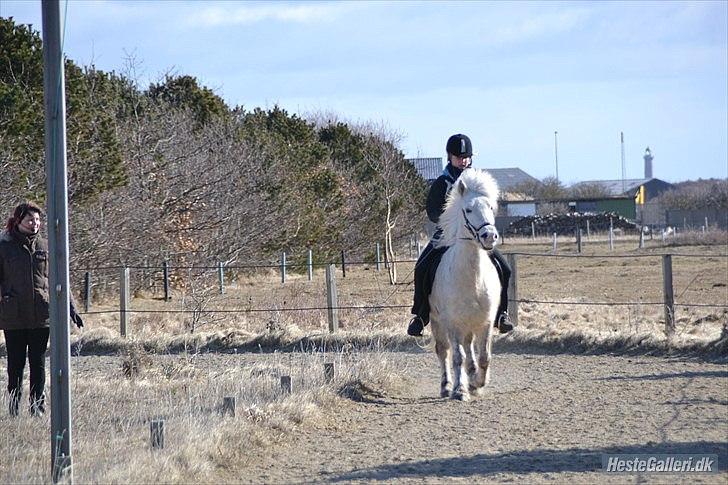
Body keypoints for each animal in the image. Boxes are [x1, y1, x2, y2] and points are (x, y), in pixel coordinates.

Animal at [430, 169, 504, 400]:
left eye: (491, 208)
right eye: (468, 209)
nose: (489, 236)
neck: (472, 279)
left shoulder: (487, 321)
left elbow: (484, 356)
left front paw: (478, 383)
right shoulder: (452, 322)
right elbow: (457, 357)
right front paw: (459, 390)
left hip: (470, 322)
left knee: (469, 347)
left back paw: (471, 377)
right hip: (437, 320)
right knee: (443, 351)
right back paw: (446, 386)